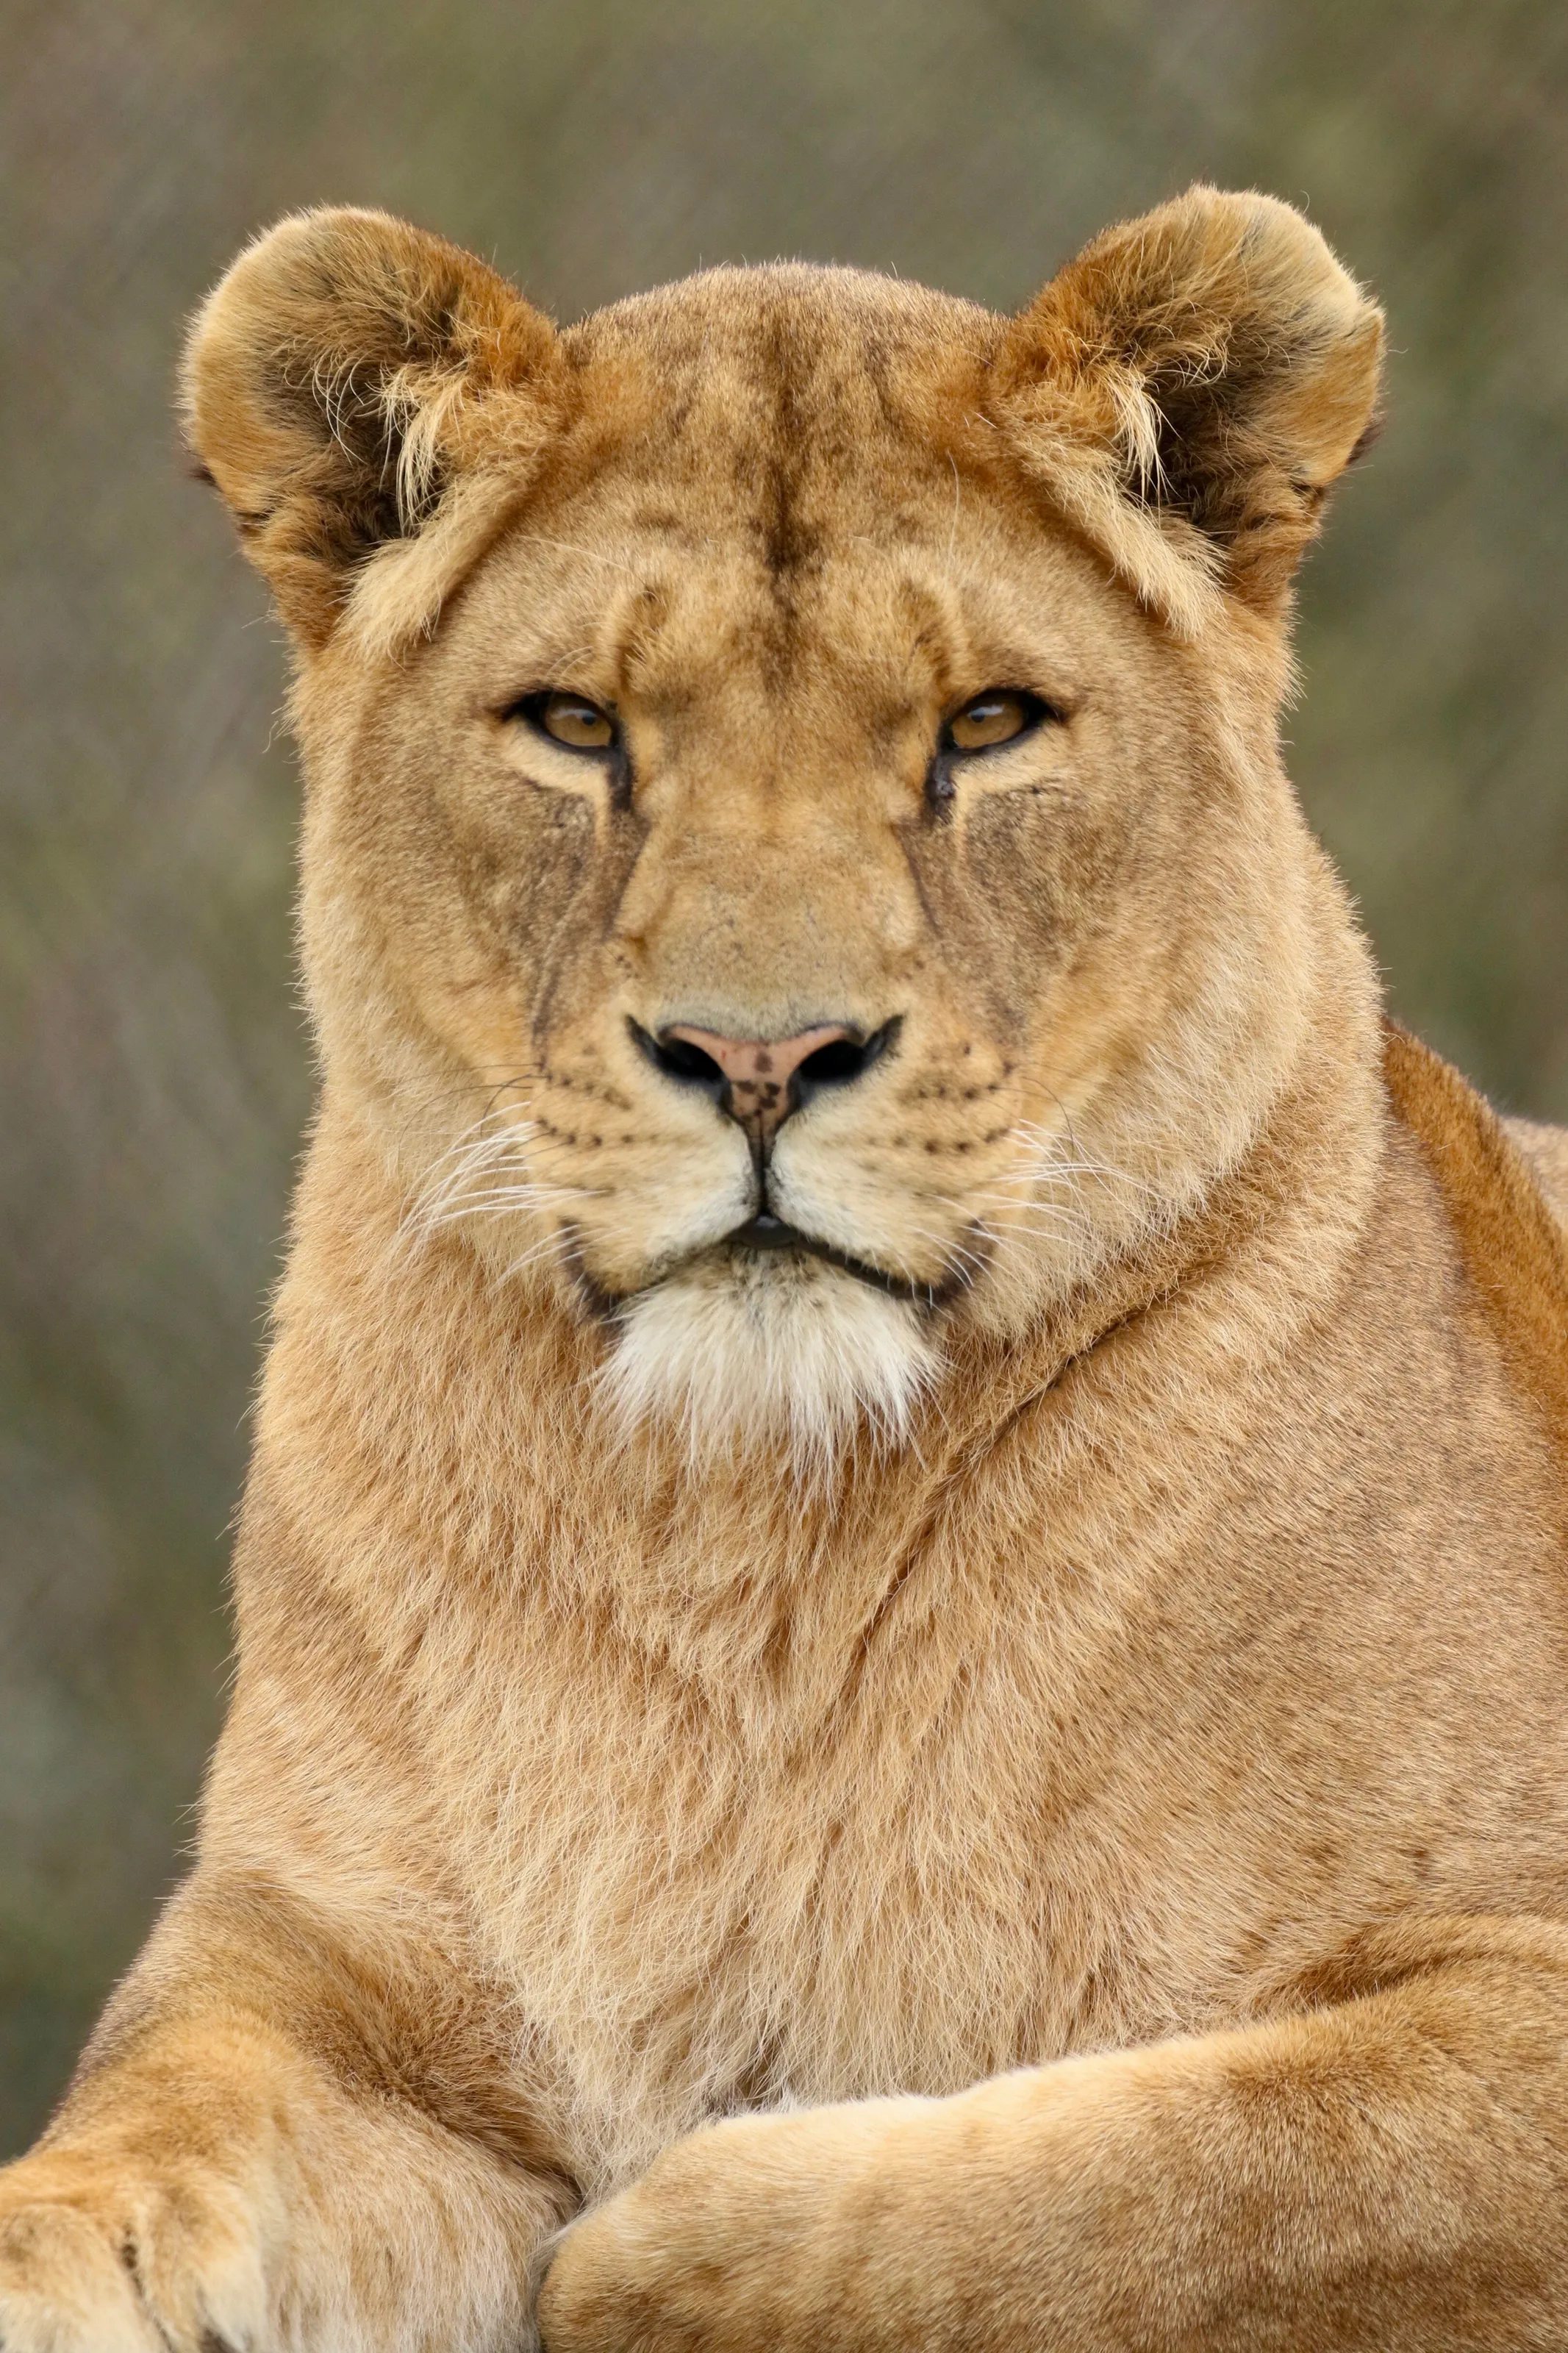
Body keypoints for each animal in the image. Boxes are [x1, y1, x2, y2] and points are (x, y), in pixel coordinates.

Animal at [2, 183, 1567, 2353]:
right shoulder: (333, 1993)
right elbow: (148, 2137)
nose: (759, 1059)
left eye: (983, 725)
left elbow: (1141, 2178)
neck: (746, 1554)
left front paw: (643, 2243)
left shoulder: (1499, 1994)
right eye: (576, 728)